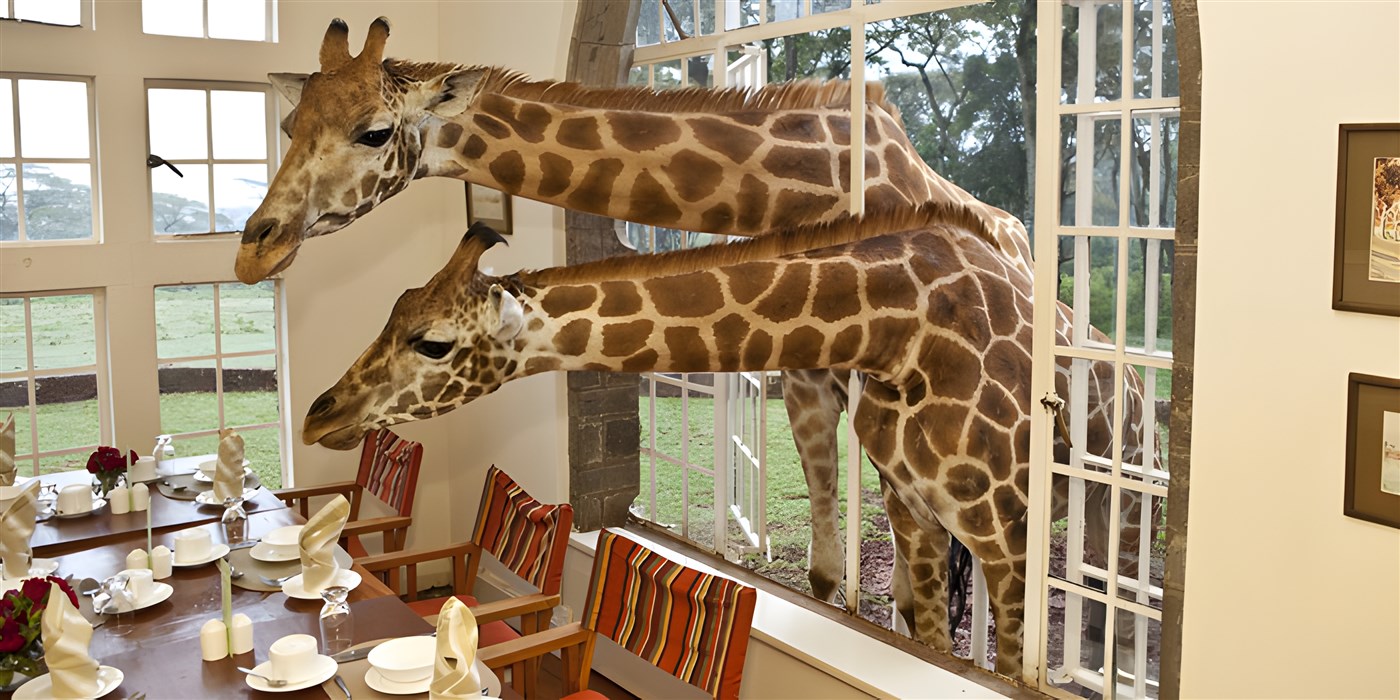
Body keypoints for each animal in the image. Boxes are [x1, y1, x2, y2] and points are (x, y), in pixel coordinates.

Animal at [300, 206, 1154, 677]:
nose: (318, 414)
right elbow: (936, 644)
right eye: (393, 307)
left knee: (1120, 616)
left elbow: (1006, 660)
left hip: (1120, 506)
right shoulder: (915, 512)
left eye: (433, 341)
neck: (897, 330)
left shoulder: (1006, 528)